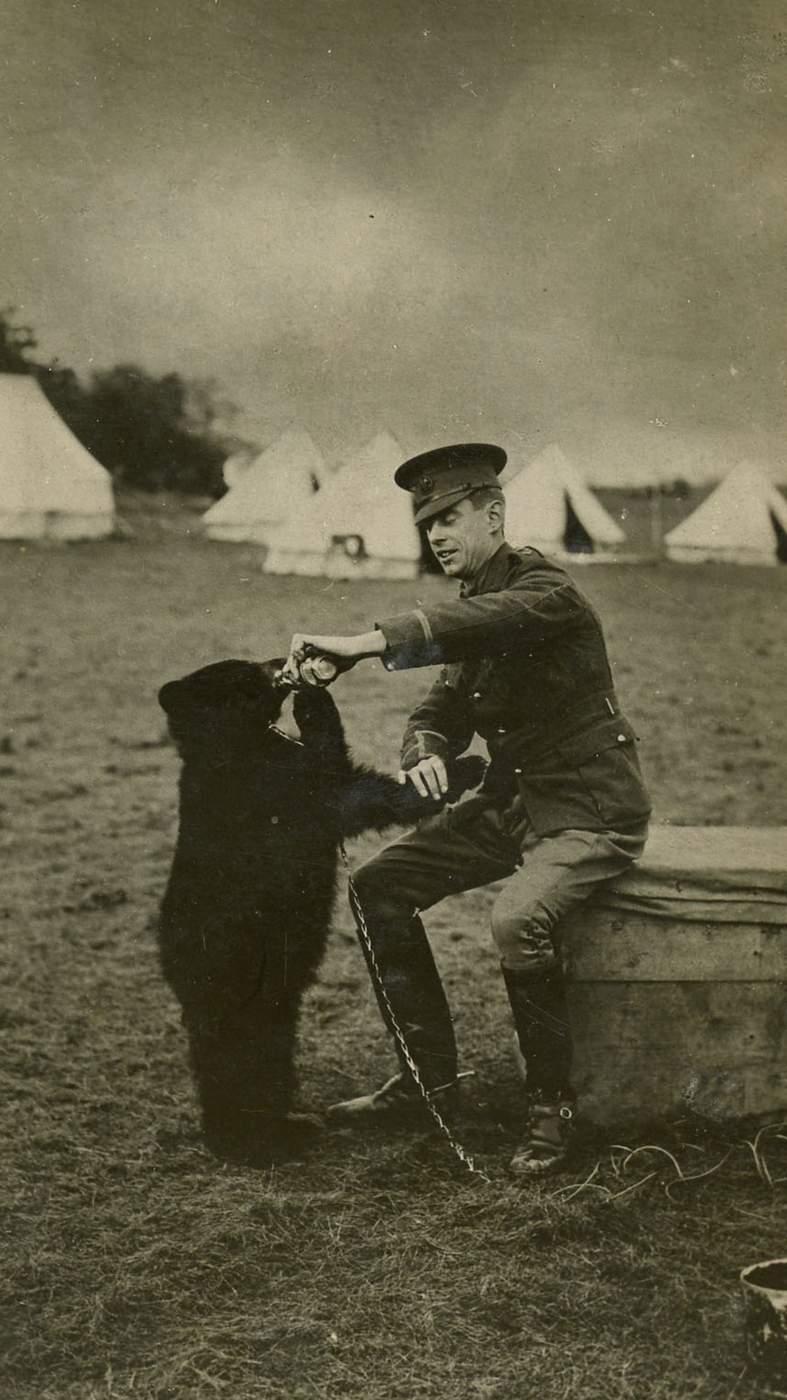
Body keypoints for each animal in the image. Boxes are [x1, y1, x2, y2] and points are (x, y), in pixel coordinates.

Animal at [157, 658, 485, 1166]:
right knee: (235, 1062)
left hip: (273, 1005)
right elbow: (349, 793)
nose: (278, 664)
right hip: (236, 980)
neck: (233, 749)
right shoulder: (284, 791)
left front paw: (313, 689)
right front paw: (464, 768)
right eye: (245, 677)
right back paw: (256, 1140)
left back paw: (285, 1124)